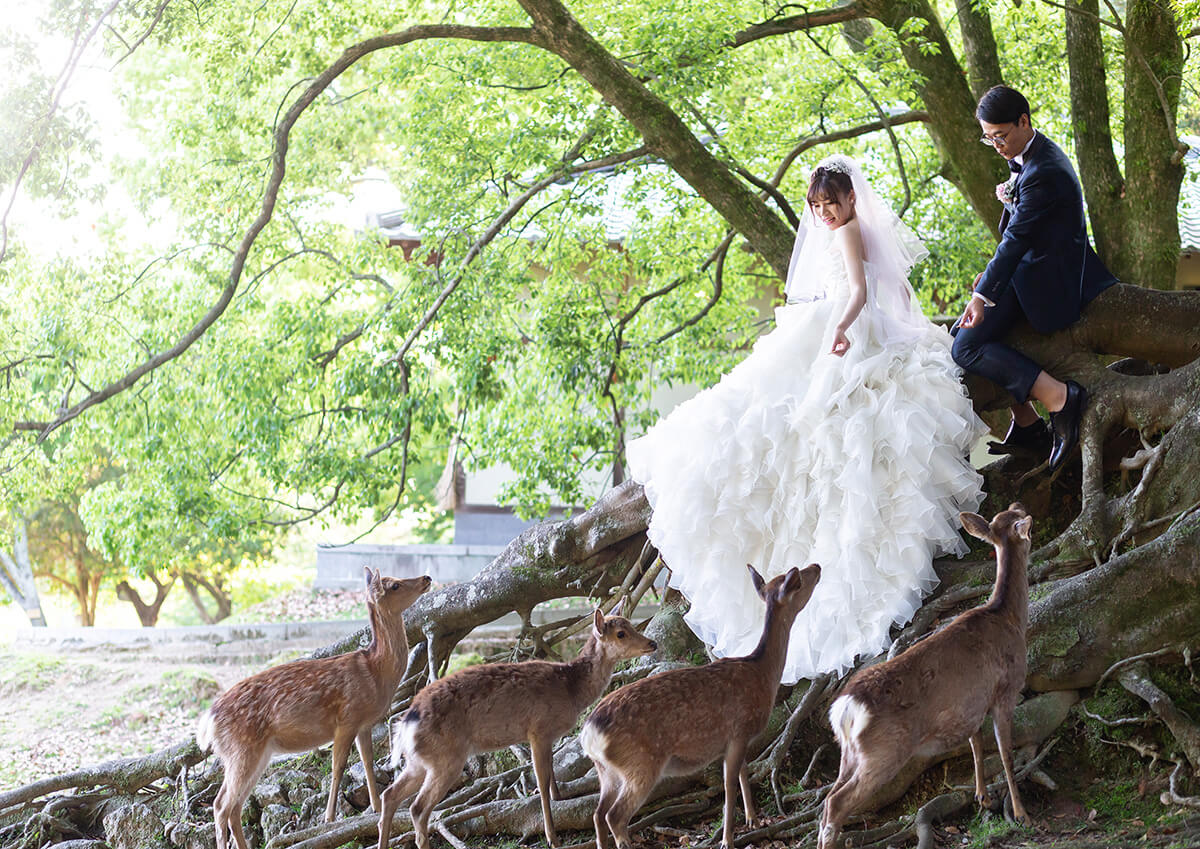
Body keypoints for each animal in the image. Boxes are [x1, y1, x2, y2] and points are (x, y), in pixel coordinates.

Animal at [192, 566, 427, 849]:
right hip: (242, 749)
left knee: (233, 805)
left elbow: (367, 762)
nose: (427, 578)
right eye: (394, 585)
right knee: (221, 805)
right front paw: (329, 817)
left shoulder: (364, 723)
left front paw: (375, 805)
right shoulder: (346, 718)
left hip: (251, 753)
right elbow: (338, 766)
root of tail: (208, 721)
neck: (376, 672)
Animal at [374, 609, 657, 849]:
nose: (652, 643)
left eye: (631, 624)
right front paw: (552, 837)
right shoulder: (538, 730)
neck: (570, 690)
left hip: (420, 760)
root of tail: (406, 721)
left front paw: (560, 799)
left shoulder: (548, 736)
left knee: (390, 794)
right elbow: (540, 781)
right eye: (620, 633)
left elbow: (552, 774)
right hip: (447, 759)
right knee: (417, 808)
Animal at [580, 563, 825, 849]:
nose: (817, 566)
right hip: (640, 763)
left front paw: (753, 820)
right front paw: (728, 839)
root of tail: (589, 733)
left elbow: (743, 773)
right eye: (798, 580)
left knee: (597, 814)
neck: (762, 674)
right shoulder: (739, 731)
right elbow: (729, 785)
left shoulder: (736, 740)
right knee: (615, 816)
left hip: (605, 771)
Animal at [820, 503, 1036, 849]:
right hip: (884, 752)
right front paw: (1022, 814)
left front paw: (983, 798)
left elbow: (976, 744)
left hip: (849, 753)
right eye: (1021, 520)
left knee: (828, 799)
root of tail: (846, 707)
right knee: (838, 803)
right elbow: (1006, 754)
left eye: (1010, 513)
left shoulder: (973, 704)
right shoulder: (1006, 690)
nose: (1021, 507)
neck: (1010, 620)